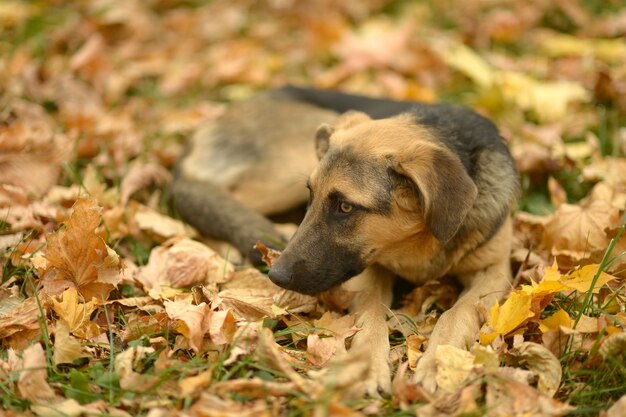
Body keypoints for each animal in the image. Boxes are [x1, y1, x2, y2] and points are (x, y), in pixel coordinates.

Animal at [172, 86, 516, 394]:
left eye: (346, 207)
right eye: (312, 195)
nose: (276, 276)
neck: (417, 243)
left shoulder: (495, 271)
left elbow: (456, 313)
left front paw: (441, 361)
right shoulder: (367, 269)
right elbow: (371, 316)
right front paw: (366, 364)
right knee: (201, 193)